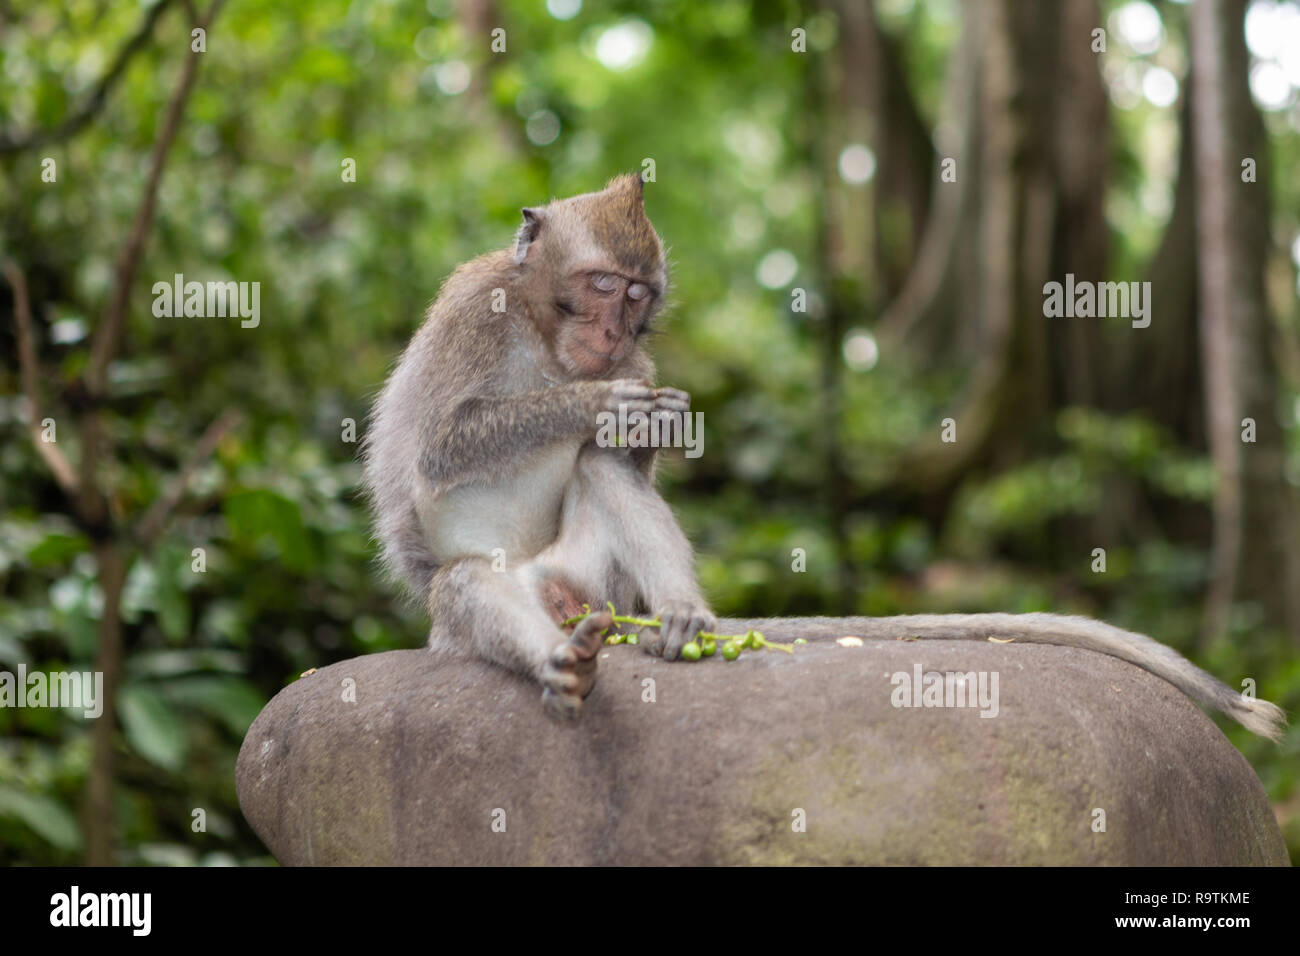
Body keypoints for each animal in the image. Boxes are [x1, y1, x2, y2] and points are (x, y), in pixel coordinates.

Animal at [363, 173, 715, 718]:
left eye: (636, 293)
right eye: (603, 284)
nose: (614, 330)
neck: (547, 341)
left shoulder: (636, 362)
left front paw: (661, 424)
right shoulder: (474, 310)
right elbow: (438, 447)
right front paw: (594, 403)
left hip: (597, 586)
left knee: (600, 464)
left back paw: (679, 613)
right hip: (459, 629)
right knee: (466, 581)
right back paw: (564, 663)